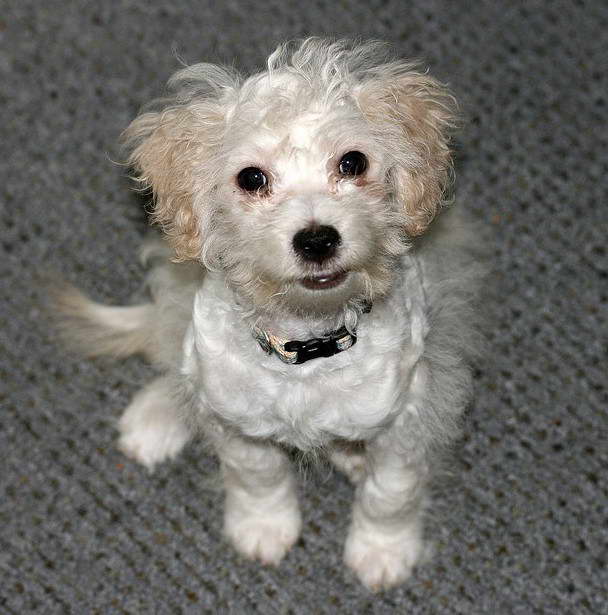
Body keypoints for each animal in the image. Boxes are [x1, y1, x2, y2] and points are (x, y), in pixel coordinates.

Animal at [55, 39, 484, 592]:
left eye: (353, 162)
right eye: (252, 178)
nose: (317, 240)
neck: (307, 348)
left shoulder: (408, 419)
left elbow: (390, 493)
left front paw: (383, 551)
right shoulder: (238, 422)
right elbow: (257, 476)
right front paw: (262, 528)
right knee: (173, 349)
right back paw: (156, 417)